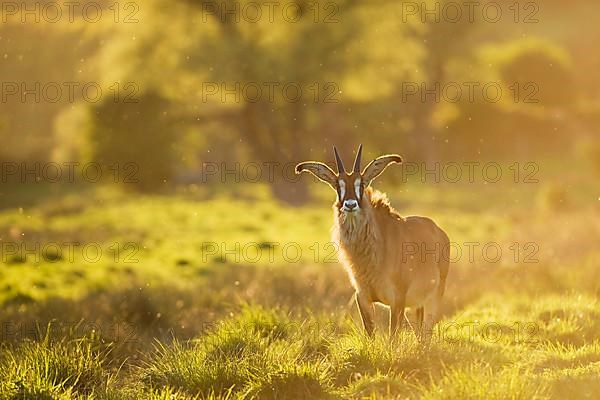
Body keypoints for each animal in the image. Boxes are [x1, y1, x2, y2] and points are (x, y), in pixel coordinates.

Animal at [296, 145, 450, 340]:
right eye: (338, 186)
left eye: (361, 184)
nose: (350, 204)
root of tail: (439, 231)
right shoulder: (363, 298)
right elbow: (370, 334)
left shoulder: (397, 300)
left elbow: (393, 339)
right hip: (416, 305)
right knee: (419, 333)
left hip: (433, 297)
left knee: (426, 335)